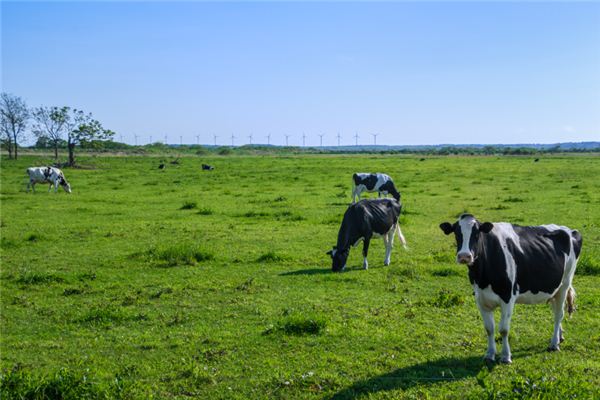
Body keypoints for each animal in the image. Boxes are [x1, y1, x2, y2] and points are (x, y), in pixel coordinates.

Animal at [438, 214, 584, 364]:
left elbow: (503, 329)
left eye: (477, 233)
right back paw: (560, 337)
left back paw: (554, 344)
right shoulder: (480, 299)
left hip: (565, 283)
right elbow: (489, 329)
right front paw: (489, 354)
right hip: (554, 288)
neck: (483, 277)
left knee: (559, 314)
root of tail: (569, 230)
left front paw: (505, 356)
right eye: (456, 233)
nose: (464, 256)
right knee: (556, 310)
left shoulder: (508, 297)